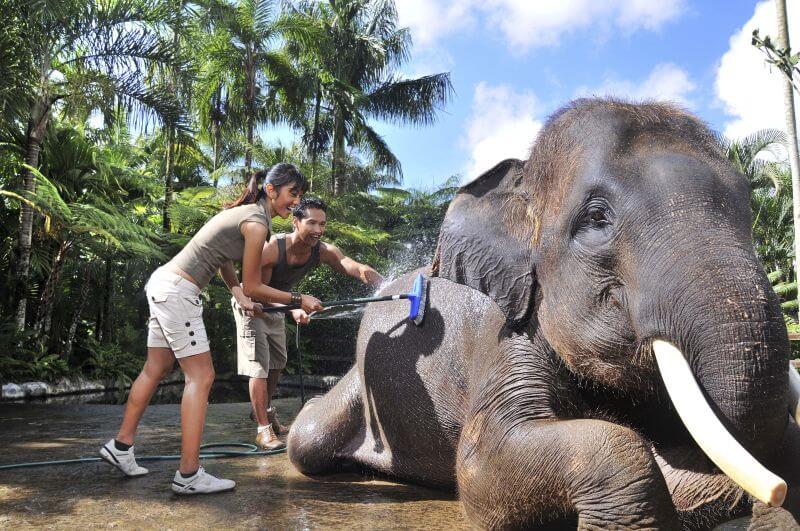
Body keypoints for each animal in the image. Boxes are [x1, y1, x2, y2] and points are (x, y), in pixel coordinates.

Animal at [288, 98, 800, 528]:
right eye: (597, 218)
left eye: (747, 206)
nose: (776, 492)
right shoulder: (506, 333)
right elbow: (480, 463)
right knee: (307, 439)